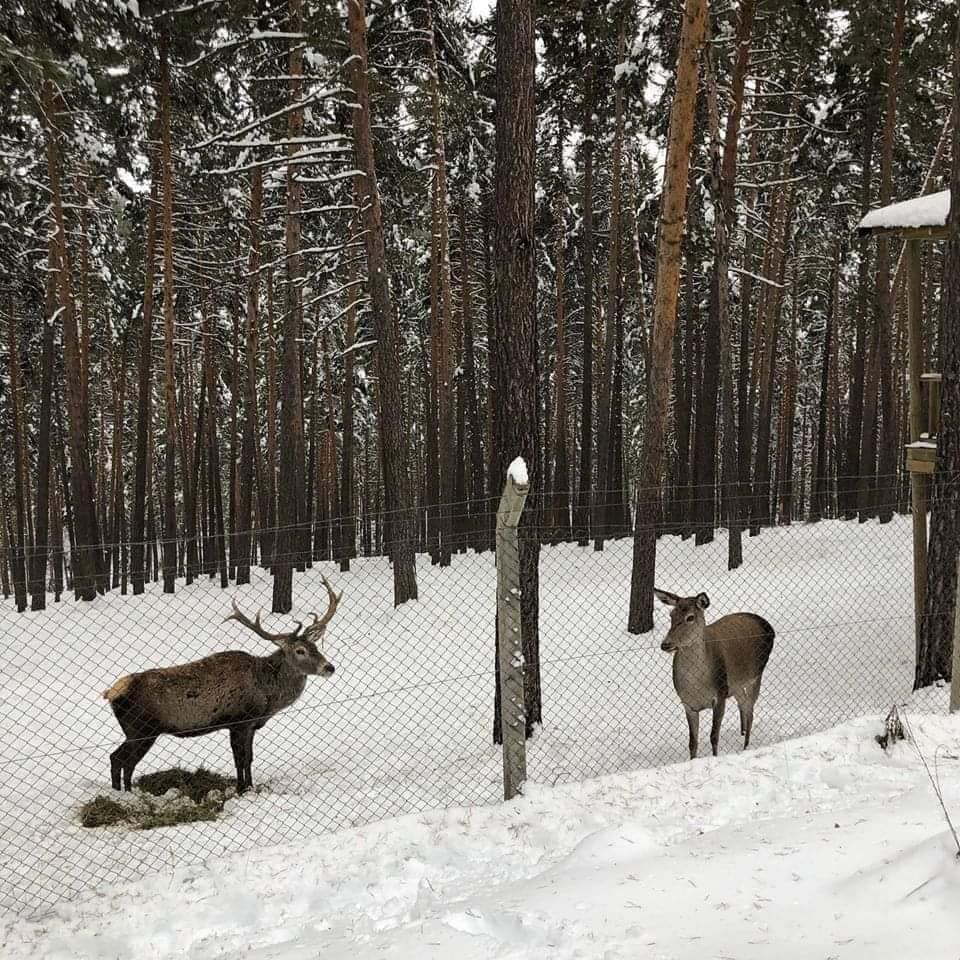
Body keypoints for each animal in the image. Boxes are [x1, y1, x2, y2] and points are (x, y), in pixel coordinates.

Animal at [101, 572, 340, 792]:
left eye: (315, 647)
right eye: (300, 651)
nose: (329, 667)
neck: (267, 695)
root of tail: (111, 693)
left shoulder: (250, 725)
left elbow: (249, 758)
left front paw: (249, 786)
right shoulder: (239, 721)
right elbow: (240, 759)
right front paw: (241, 788)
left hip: (138, 731)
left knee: (119, 760)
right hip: (141, 729)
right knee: (120, 760)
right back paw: (126, 795)